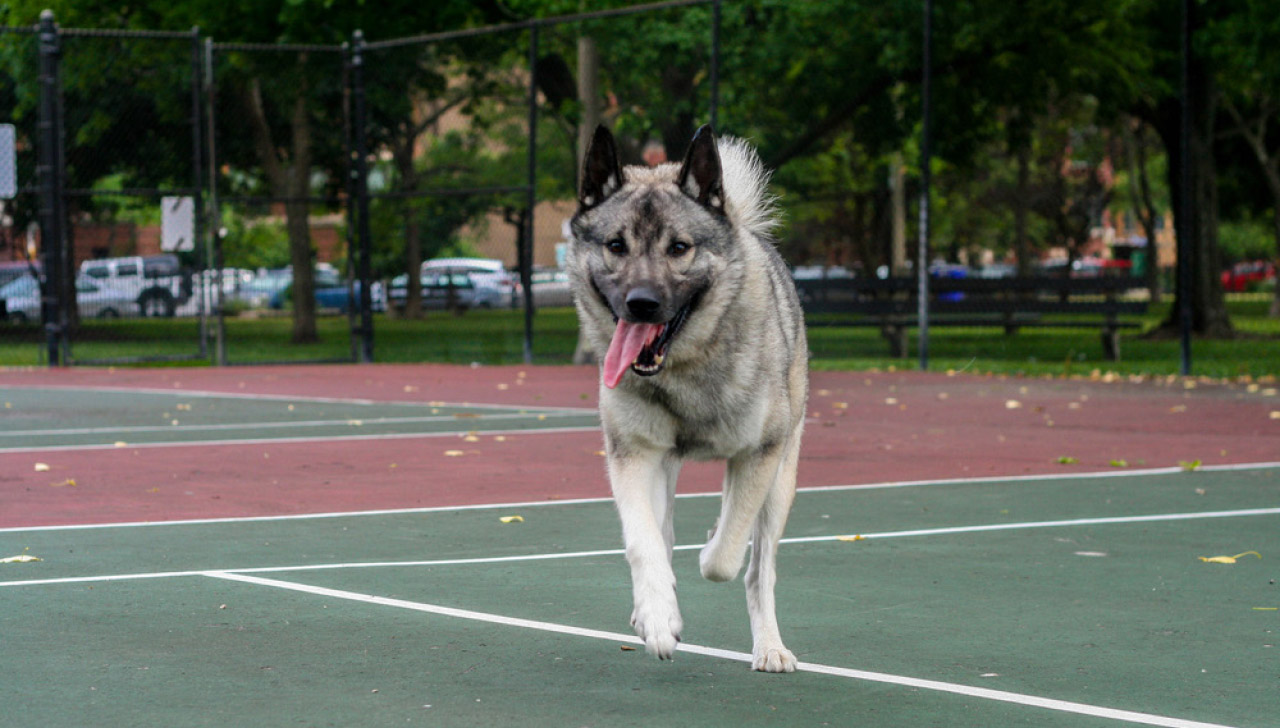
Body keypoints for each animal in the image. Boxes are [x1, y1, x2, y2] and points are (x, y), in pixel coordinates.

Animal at [565, 123, 803, 670]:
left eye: (679, 248)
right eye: (616, 245)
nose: (642, 303)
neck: (682, 369)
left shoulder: (761, 455)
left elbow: (726, 555)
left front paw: (713, 544)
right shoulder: (632, 455)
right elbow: (644, 541)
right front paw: (656, 616)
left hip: (783, 478)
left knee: (759, 568)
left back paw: (770, 646)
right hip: (665, 468)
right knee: (663, 533)